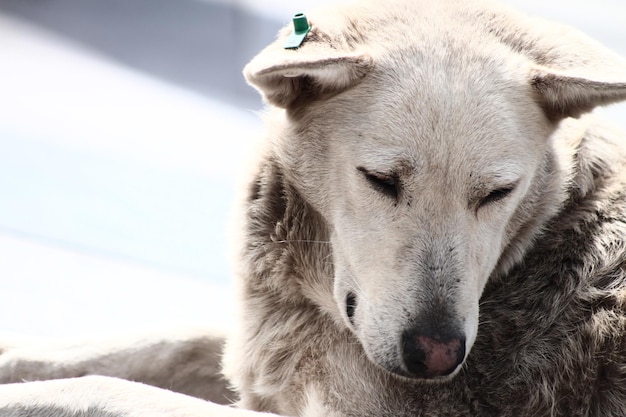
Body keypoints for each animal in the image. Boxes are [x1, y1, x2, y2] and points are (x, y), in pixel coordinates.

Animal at [1, 0, 624, 414]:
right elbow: (161, 342)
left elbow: (101, 386)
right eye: (381, 181)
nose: (437, 356)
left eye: (497, 193)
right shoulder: (265, 341)